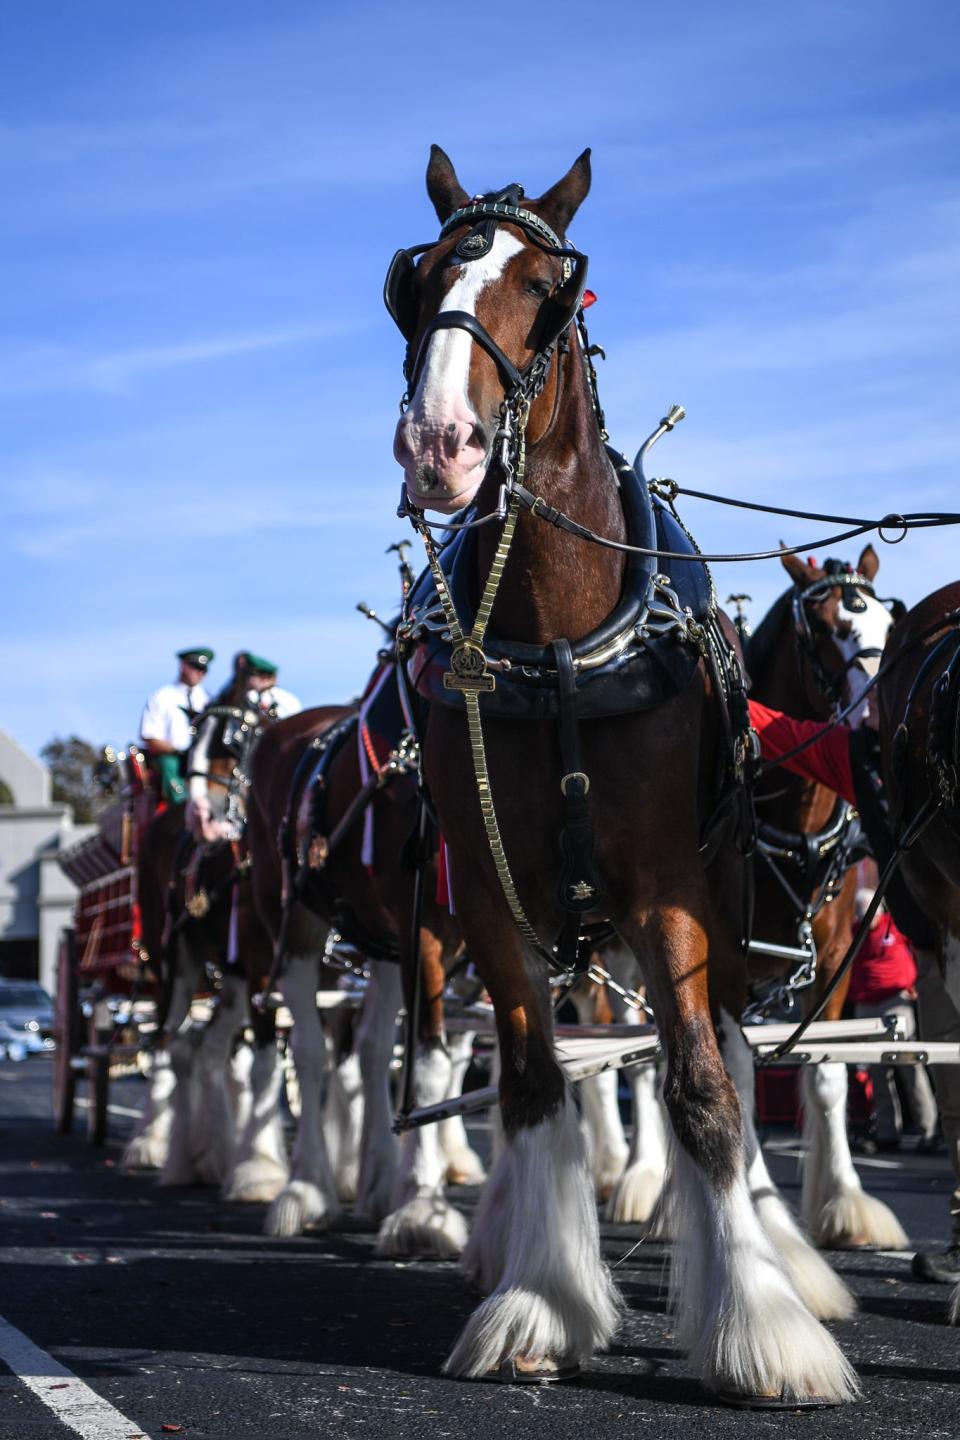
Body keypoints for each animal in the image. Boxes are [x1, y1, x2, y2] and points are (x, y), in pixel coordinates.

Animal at [385, 149, 852, 1405]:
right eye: (417, 279)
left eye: (547, 287)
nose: (440, 446)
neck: (554, 642)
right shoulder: (492, 900)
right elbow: (535, 1085)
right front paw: (541, 1304)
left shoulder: (674, 895)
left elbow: (701, 1092)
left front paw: (764, 1330)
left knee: (726, 1054)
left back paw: (777, 1251)